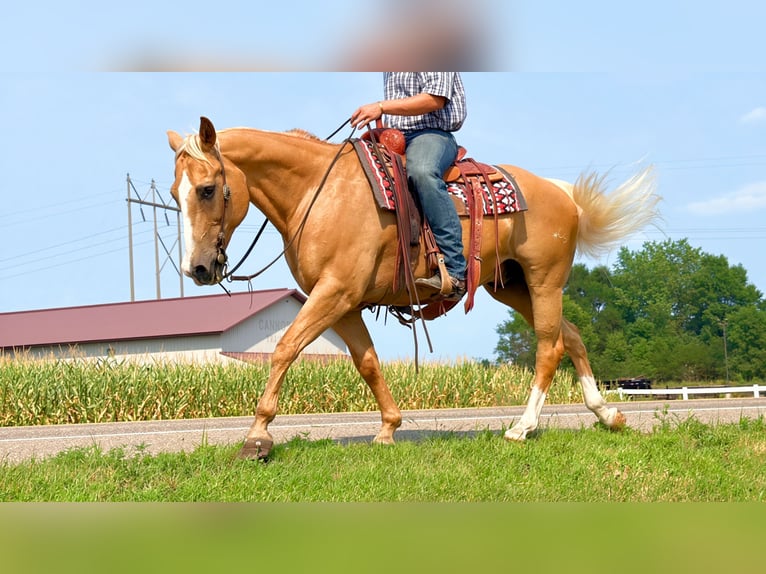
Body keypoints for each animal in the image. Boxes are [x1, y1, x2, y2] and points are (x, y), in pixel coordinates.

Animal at [167, 116, 660, 460]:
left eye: (207, 189)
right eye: (175, 194)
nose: (198, 268)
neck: (317, 193)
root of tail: (563, 194)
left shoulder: (334, 293)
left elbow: (285, 348)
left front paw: (257, 436)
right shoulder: (344, 303)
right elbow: (367, 362)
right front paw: (388, 428)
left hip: (544, 280)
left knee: (548, 346)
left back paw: (522, 427)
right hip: (512, 286)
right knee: (571, 335)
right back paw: (607, 414)